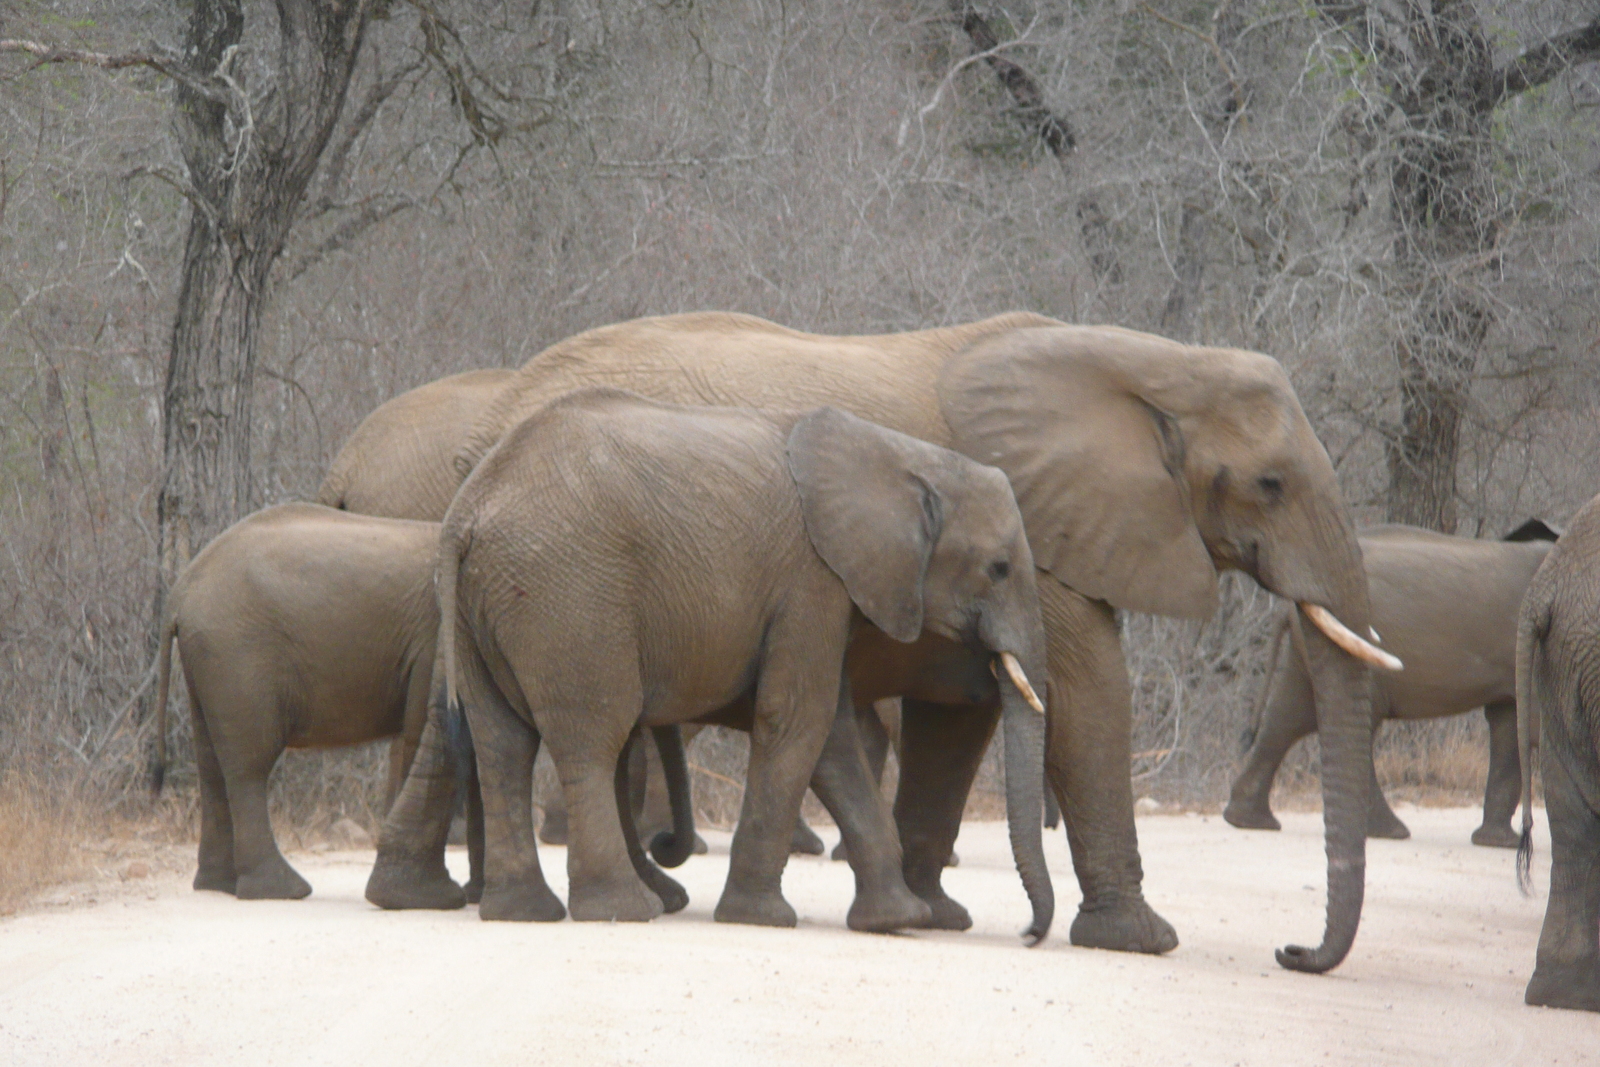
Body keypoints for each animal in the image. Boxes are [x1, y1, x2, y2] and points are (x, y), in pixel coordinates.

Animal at [150, 508, 483, 902]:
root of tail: (180, 591)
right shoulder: (432, 638)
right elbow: (423, 733)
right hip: (236, 653)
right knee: (248, 765)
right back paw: (282, 889)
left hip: (206, 658)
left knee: (210, 763)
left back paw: (218, 885)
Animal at [368, 390, 1056, 934]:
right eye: (999, 568)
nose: (1028, 935)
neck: (904, 456)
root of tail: (466, 512)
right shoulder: (812, 581)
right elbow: (797, 721)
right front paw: (765, 920)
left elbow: (830, 738)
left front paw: (897, 921)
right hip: (568, 597)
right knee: (591, 738)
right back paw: (624, 911)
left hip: (477, 611)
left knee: (502, 743)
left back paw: (524, 914)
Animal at [1228, 521, 1555, 844]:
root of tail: (1289, 604)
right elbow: (1533, 727)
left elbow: (1510, 728)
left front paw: (1498, 842)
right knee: (1343, 722)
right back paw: (1388, 831)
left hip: (1312, 646)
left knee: (1287, 718)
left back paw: (1248, 820)